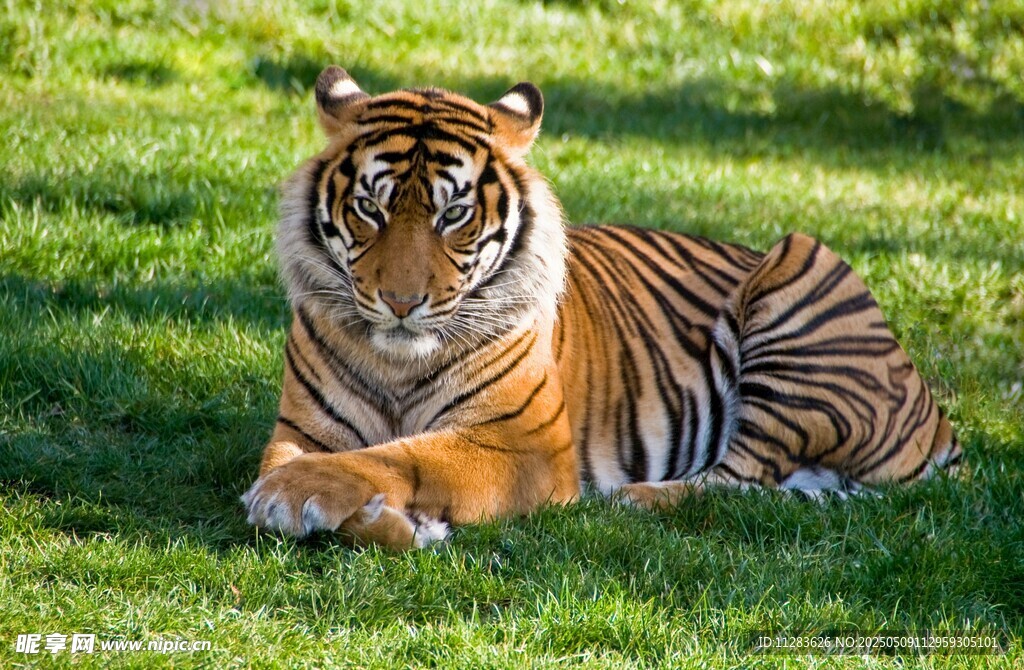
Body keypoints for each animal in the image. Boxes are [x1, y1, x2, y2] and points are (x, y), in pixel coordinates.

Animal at [241, 66, 962, 549]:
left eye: (453, 215)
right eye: (371, 207)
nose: (400, 302)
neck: (398, 362)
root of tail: (938, 419)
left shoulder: (522, 444)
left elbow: (403, 455)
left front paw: (294, 496)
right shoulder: (302, 428)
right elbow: (316, 460)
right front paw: (383, 520)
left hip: (801, 264)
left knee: (741, 478)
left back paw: (631, 499)